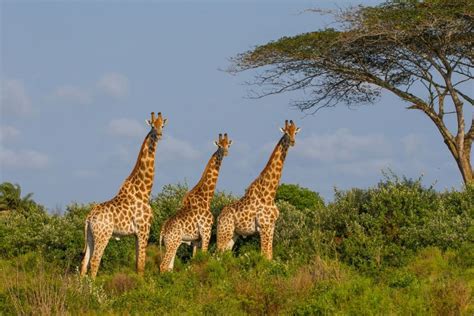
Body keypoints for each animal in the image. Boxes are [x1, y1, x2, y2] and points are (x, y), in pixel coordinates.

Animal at [78, 111, 166, 278]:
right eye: (152, 126)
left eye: (162, 125)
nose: (159, 134)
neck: (144, 191)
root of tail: (88, 218)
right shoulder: (144, 229)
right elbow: (142, 265)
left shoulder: (137, 233)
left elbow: (137, 264)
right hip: (103, 235)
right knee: (95, 262)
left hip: (91, 237)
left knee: (83, 264)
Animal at [160, 133, 232, 272]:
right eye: (220, 146)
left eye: (228, 145)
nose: (226, 152)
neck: (205, 198)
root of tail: (162, 231)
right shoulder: (206, 231)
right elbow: (204, 257)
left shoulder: (195, 240)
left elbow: (194, 260)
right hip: (172, 242)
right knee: (163, 265)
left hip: (172, 243)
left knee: (169, 267)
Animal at [216, 119, 298, 260]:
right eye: (286, 132)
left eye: (295, 132)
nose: (292, 141)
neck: (269, 194)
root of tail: (219, 216)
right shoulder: (264, 227)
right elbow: (265, 255)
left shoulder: (271, 226)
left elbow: (269, 255)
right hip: (224, 232)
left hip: (233, 234)